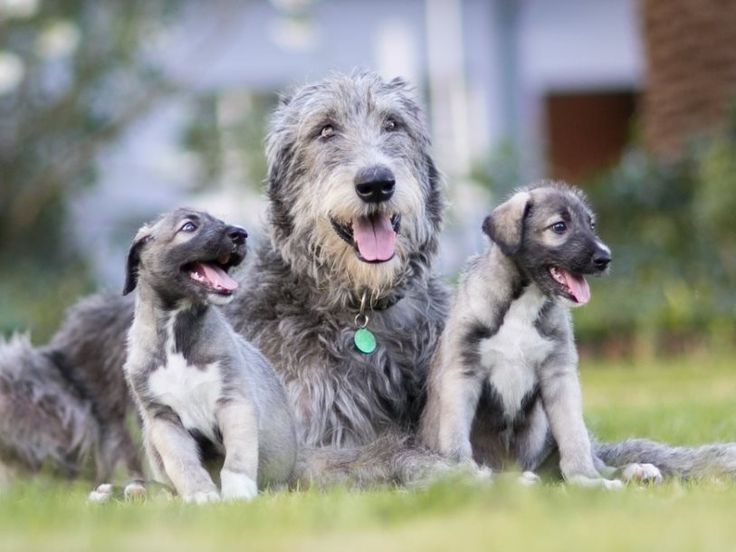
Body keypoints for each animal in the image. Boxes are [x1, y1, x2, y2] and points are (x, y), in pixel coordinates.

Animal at [113, 209, 294, 502]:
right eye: (189, 227)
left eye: (220, 221)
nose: (240, 234)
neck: (176, 333)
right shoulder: (163, 420)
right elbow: (182, 463)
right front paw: (200, 494)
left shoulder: (235, 402)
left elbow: (238, 457)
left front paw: (238, 493)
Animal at [422, 182, 664, 488]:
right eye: (559, 226)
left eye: (591, 225)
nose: (605, 258)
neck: (522, 302)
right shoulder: (462, 372)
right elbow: (455, 437)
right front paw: (464, 474)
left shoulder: (559, 375)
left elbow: (575, 436)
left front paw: (586, 479)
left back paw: (634, 471)